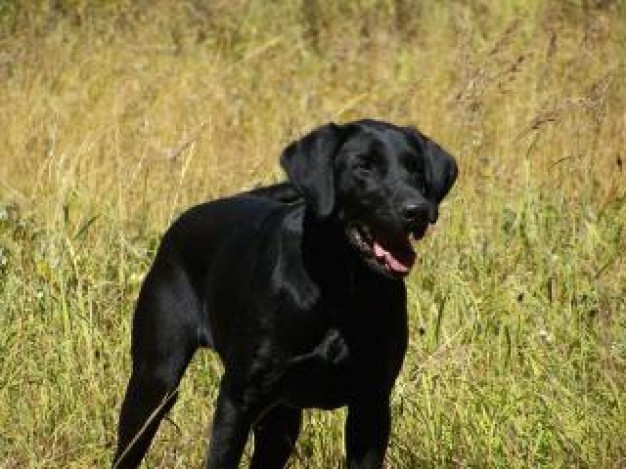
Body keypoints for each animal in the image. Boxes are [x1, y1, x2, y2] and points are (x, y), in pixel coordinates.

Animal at [112, 119, 456, 466]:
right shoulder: (238, 399)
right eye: (364, 166)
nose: (417, 210)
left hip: (281, 420)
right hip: (155, 381)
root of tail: (181, 222)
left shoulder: (371, 405)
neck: (341, 289)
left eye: (416, 169)